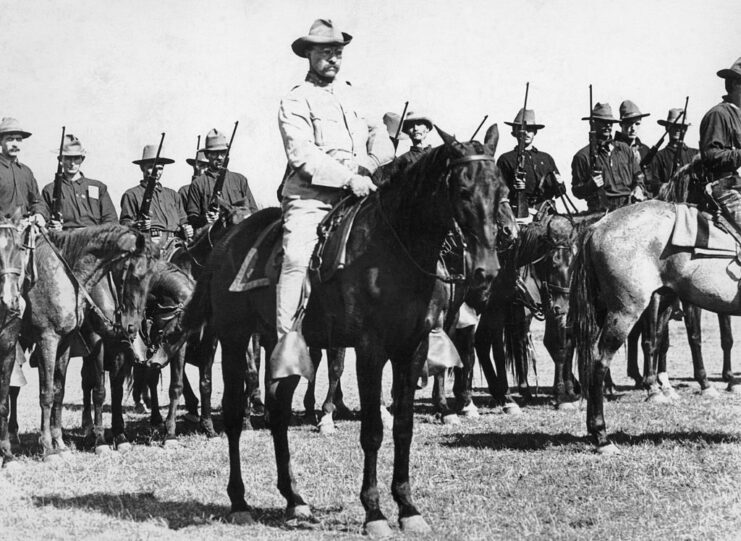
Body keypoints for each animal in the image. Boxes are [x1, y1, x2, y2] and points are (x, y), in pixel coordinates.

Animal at [184, 127, 508, 536]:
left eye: (502, 191)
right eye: (462, 190)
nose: (487, 271)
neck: (392, 248)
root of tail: (226, 242)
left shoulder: (412, 349)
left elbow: (403, 426)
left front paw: (407, 507)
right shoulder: (370, 350)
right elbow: (372, 431)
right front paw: (375, 513)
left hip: (285, 346)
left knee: (278, 413)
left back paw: (295, 500)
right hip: (233, 339)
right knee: (231, 412)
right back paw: (239, 501)